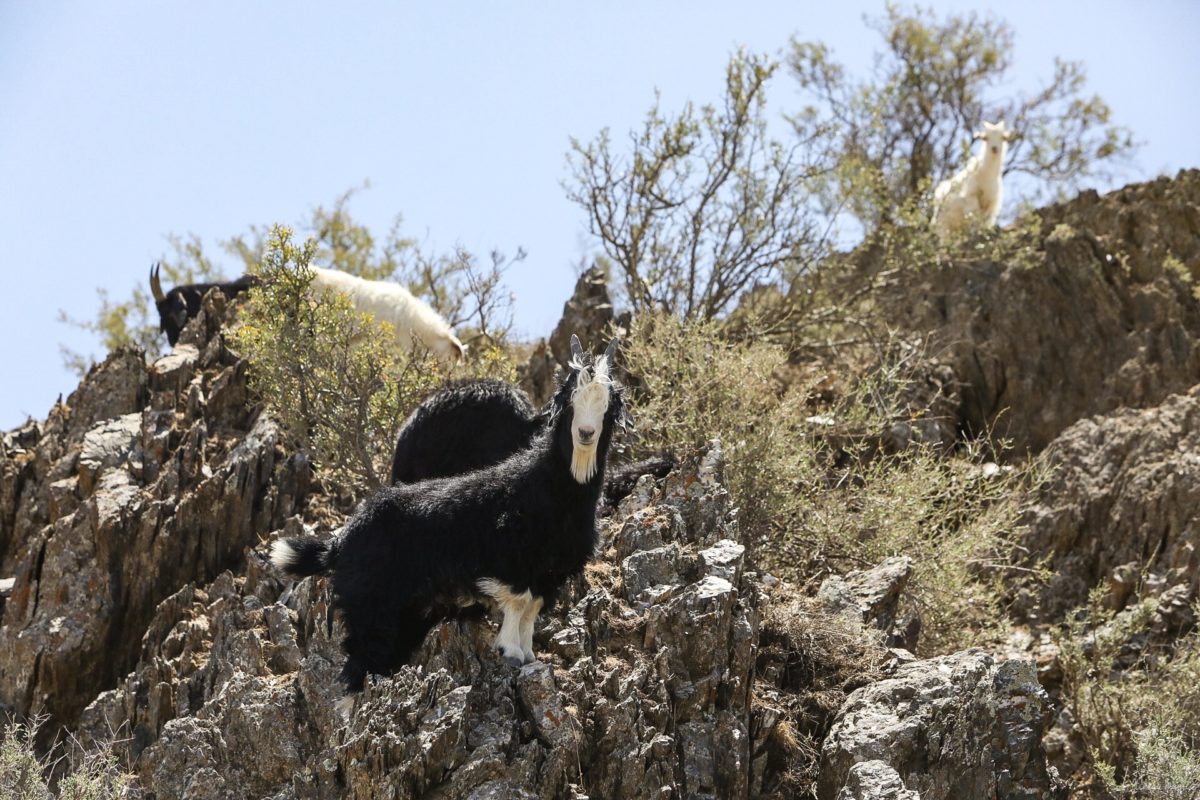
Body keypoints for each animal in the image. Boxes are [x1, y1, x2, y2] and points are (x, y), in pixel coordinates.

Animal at [270, 335, 628, 695]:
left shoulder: (548, 573)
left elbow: (532, 609)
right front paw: (510, 651)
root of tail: (339, 542)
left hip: (406, 614)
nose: (585, 433)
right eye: (570, 399)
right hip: (371, 608)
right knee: (354, 672)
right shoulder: (512, 565)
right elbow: (518, 603)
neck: (545, 484)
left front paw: (527, 654)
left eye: (608, 404)